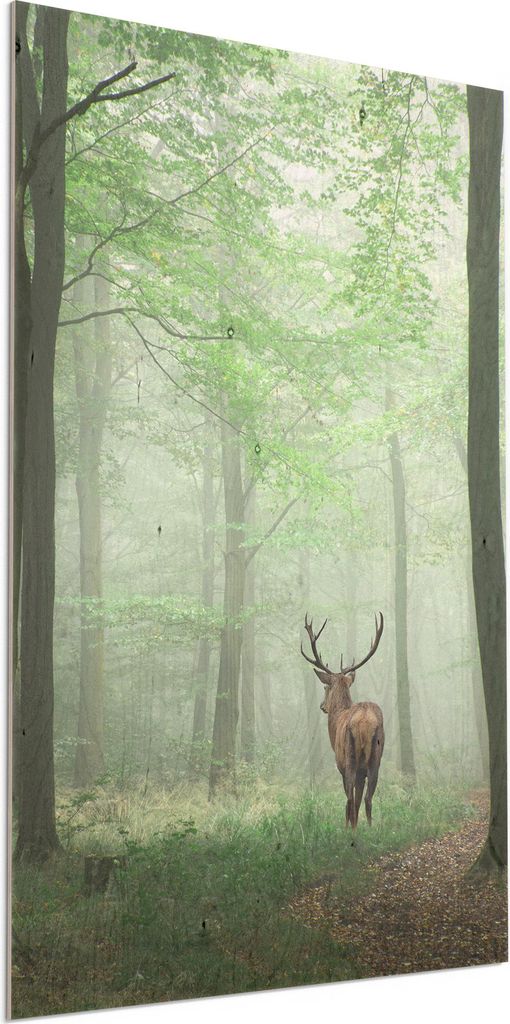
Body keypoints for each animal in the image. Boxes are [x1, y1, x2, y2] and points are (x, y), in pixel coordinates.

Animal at [301, 612, 384, 829]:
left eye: (325, 687)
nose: (322, 706)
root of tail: (365, 723)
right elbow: (359, 798)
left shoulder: (340, 763)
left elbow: (349, 800)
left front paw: (348, 828)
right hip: (376, 757)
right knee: (368, 798)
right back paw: (371, 830)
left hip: (349, 756)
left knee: (349, 799)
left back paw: (350, 831)